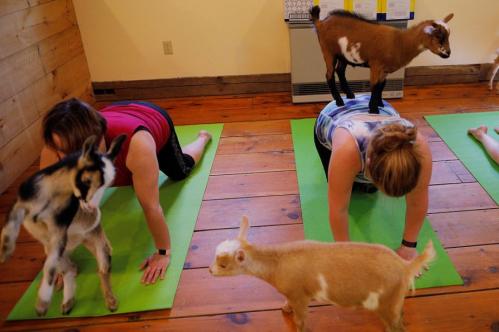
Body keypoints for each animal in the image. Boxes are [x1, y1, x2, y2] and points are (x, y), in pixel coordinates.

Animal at [0, 134, 125, 314]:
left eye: (106, 185)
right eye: (87, 181)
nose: (91, 209)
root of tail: (79, 241)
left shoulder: (59, 230)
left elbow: (49, 267)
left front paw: (42, 303)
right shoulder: (21, 205)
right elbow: (10, 223)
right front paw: (5, 251)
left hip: (96, 245)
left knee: (102, 269)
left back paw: (110, 301)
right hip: (57, 251)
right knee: (70, 270)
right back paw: (68, 302)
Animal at [211, 217, 438, 330]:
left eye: (223, 265)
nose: (210, 270)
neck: (277, 262)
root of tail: (405, 266)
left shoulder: (300, 296)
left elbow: (301, 320)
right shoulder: (293, 293)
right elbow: (288, 304)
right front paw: (285, 309)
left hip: (386, 302)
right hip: (394, 299)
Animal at [310, 5, 456, 113]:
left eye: (448, 35)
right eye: (439, 36)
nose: (448, 53)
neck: (400, 42)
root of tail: (321, 23)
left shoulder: (385, 69)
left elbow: (381, 85)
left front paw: (380, 104)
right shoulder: (376, 65)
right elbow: (374, 86)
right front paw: (373, 110)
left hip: (343, 56)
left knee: (340, 71)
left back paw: (350, 95)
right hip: (328, 52)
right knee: (329, 75)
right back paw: (339, 101)